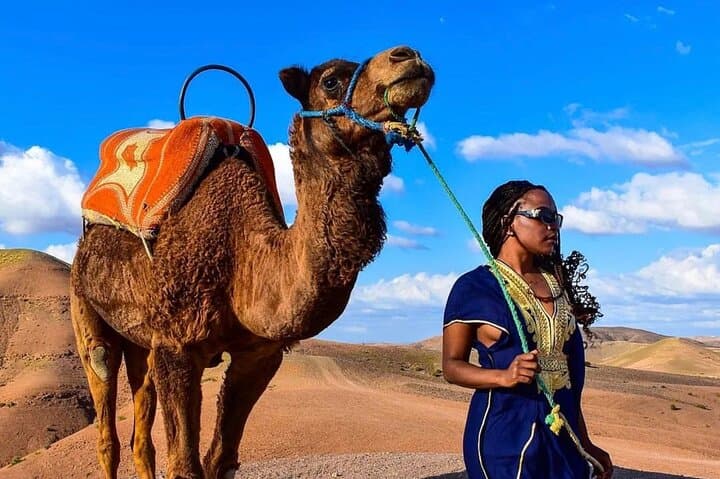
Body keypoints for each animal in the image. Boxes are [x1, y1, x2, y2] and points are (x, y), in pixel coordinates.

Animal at [70, 45, 435, 479]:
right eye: (330, 81)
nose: (408, 57)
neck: (242, 256)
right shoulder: (177, 345)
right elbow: (186, 465)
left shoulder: (260, 354)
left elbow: (221, 458)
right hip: (84, 304)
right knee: (104, 403)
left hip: (138, 336)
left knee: (142, 427)